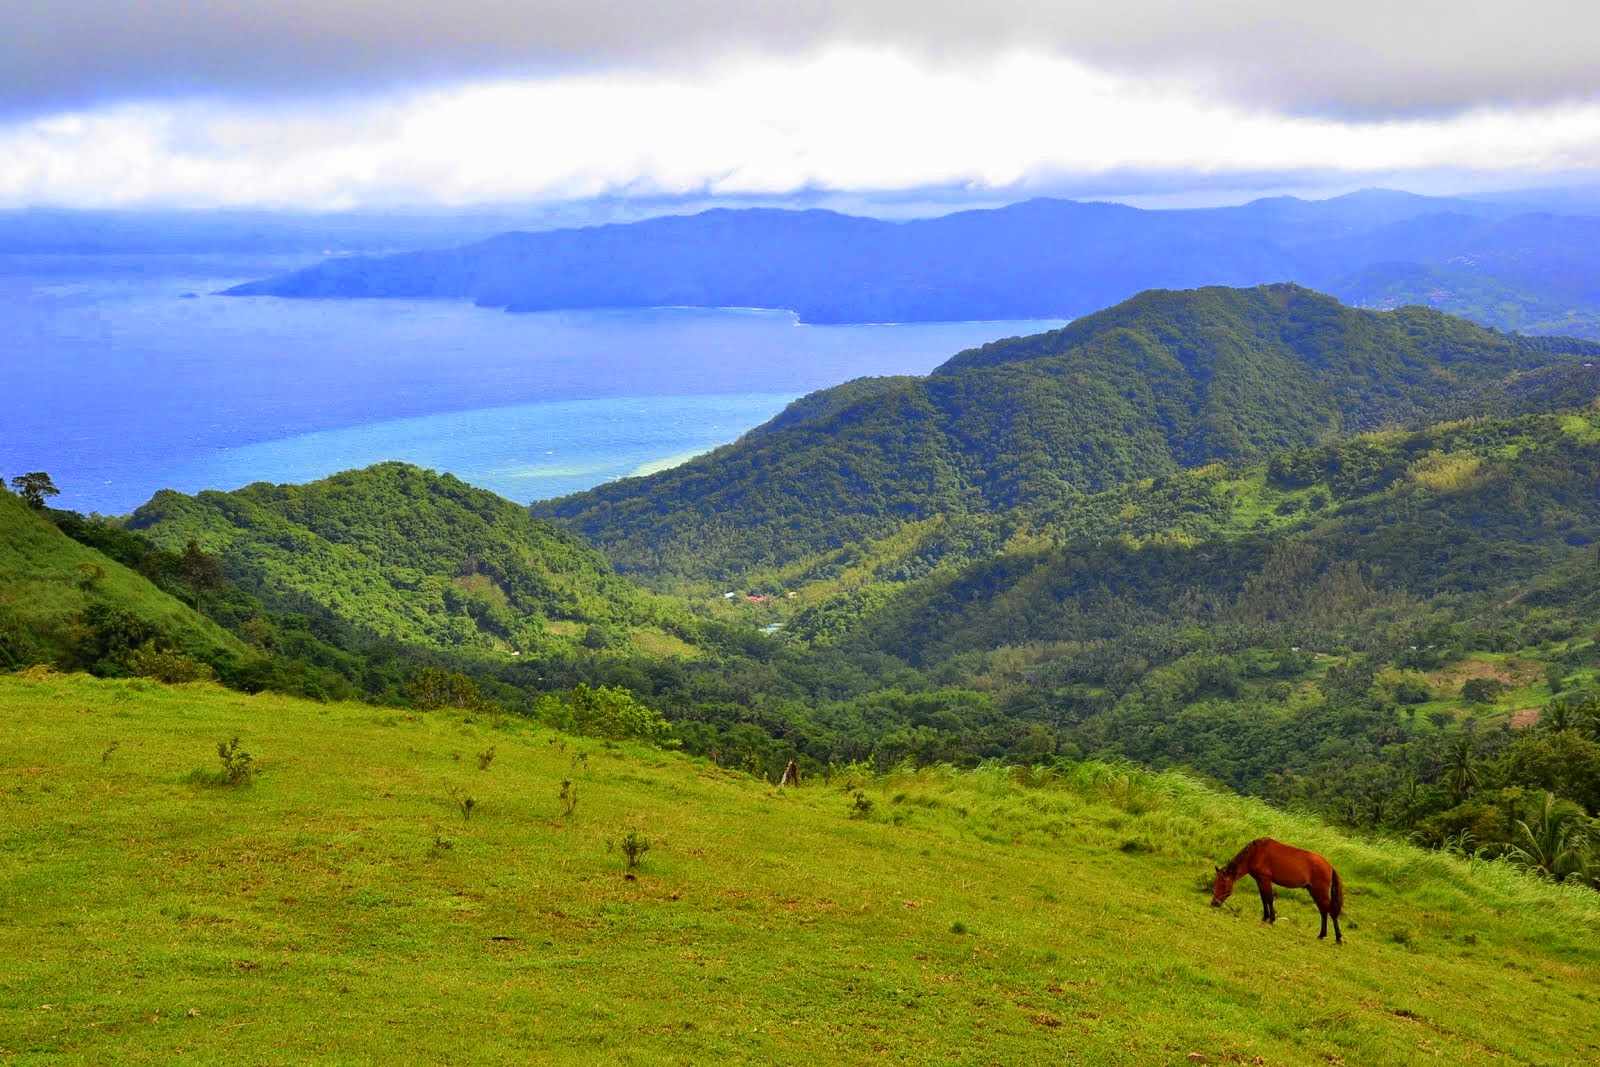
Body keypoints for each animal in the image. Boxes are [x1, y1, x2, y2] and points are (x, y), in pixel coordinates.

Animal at [1203, 844, 1344, 940]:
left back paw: (1338, 938)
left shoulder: (1266, 879)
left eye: (1223, 884)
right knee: (1323, 910)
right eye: (1215, 883)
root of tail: (1330, 866)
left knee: (1330, 910)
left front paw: (1271, 919)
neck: (1255, 853)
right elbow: (1263, 898)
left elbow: (1269, 898)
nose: (1214, 903)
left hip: (1320, 891)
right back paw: (1322, 934)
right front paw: (1265, 917)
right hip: (1313, 890)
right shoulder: (1259, 880)